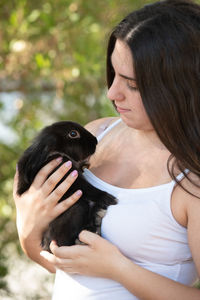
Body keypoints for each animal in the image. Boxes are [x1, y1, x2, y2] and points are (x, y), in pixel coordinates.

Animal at [17, 120, 117, 252]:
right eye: (73, 133)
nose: (95, 141)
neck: (56, 151)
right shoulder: (69, 179)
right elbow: (87, 189)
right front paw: (108, 198)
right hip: (78, 209)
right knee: (63, 241)